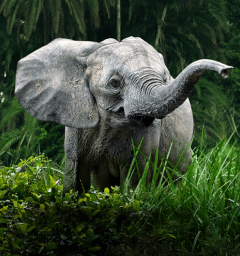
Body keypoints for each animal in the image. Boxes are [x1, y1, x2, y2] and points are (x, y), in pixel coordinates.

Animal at [14, 36, 232, 196]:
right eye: (114, 83)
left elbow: (134, 177)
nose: (226, 71)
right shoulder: (76, 119)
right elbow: (75, 177)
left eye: (164, 79)